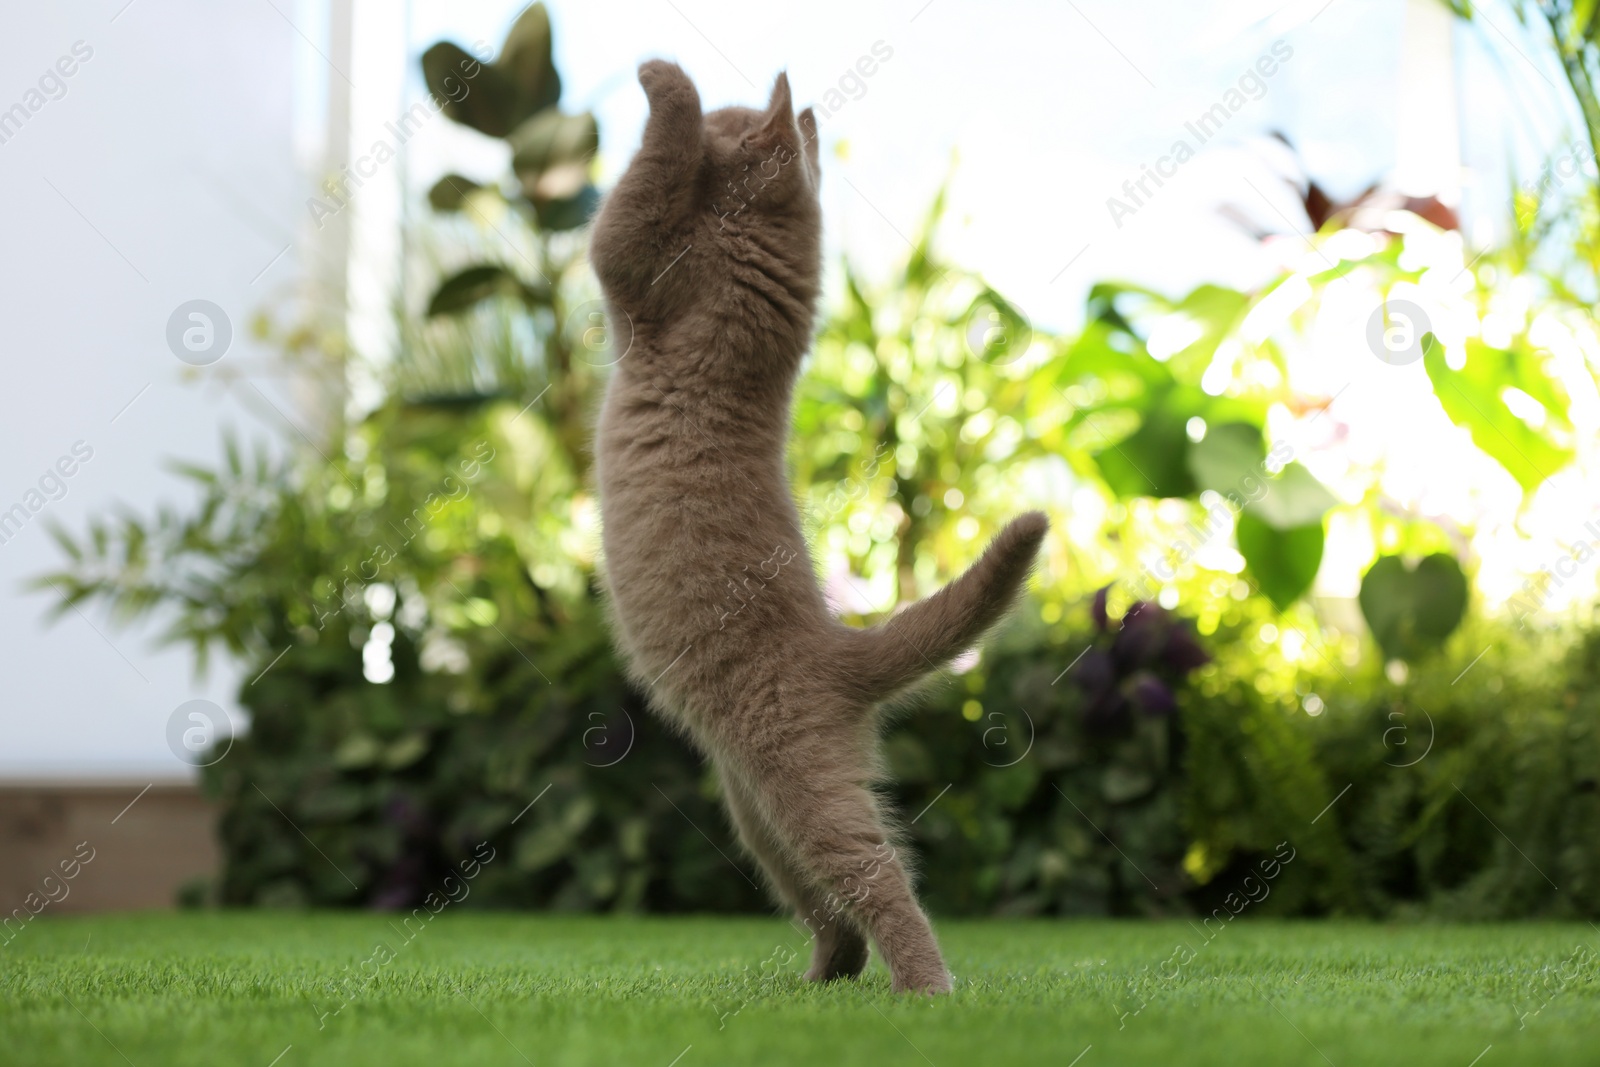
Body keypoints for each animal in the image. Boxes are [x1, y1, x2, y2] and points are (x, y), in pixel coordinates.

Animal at [588, 58, 1049, 991]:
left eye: (732, 115)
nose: (734, 107)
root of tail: (842, 649)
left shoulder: (640, 266)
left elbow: (639, 191)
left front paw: (666, 85)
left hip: (797, 783)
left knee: (877, 875)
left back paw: (928, 985)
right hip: (753, 810)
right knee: (829, 904)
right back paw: (824, 973)